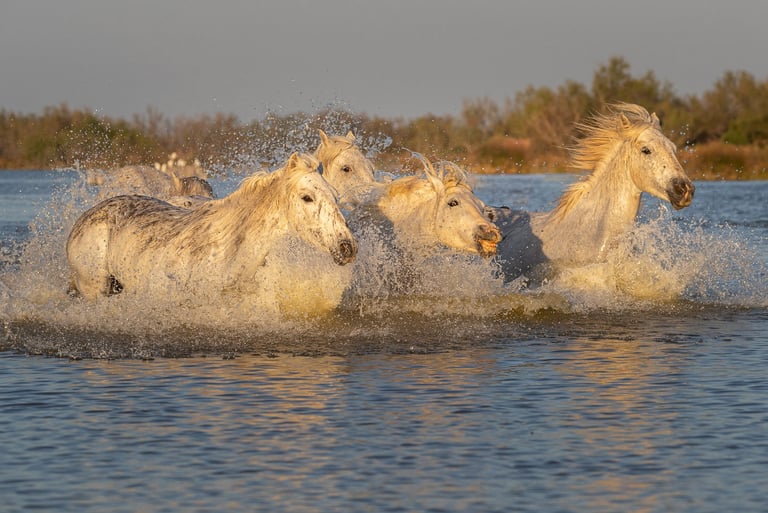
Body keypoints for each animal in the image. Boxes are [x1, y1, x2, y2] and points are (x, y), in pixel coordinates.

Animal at [66, 153, 358, 313]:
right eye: (307, 197)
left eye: (335, 195)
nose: (348, 247)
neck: (229, 249)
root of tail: (85, 218)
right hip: (94, 287)